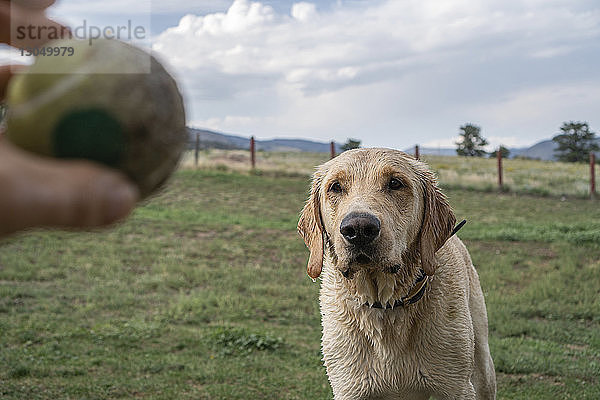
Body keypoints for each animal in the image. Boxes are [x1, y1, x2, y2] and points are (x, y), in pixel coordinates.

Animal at [298, 148, 494, 398]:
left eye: (395, 183)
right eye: (335, 187)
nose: (358, 229)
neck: (386, 304)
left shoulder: (457, 388)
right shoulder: (351, 389)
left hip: (483, 368)